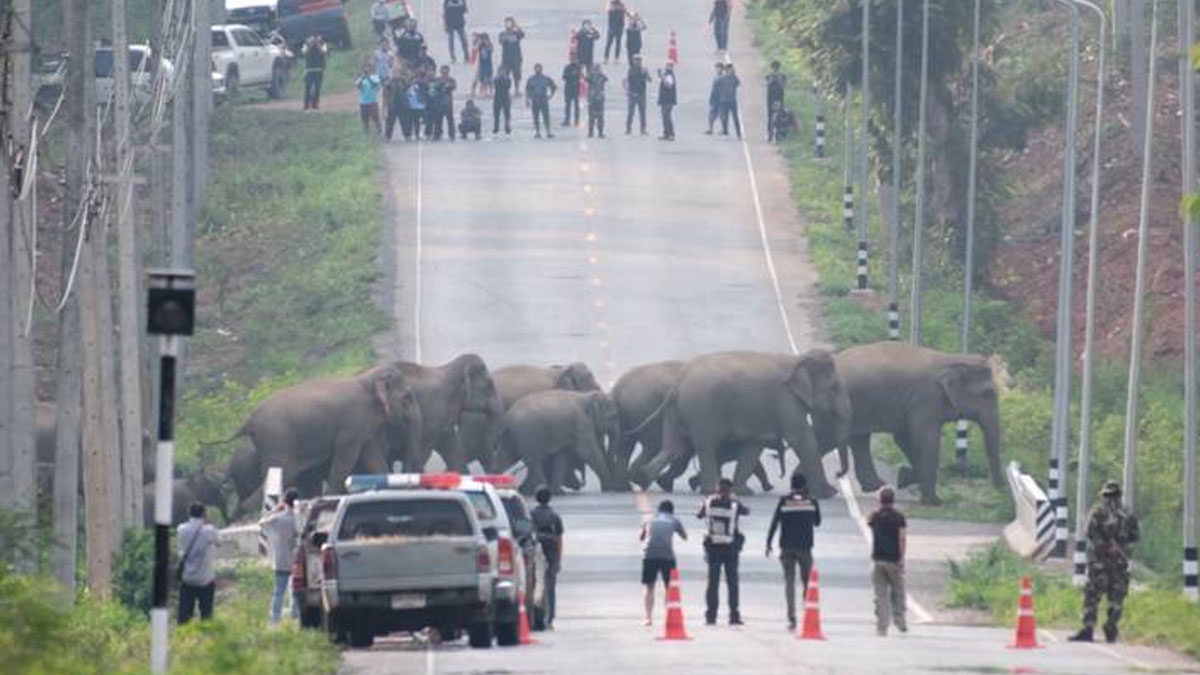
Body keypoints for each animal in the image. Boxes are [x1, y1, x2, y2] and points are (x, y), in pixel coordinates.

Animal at [211, 362, 422, 514]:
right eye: (407, 397)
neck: (366, 378)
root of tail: (249, 420)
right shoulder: (352, 425)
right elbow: (345, 458)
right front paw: (330, 498)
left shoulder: (362, 428)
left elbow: (371, 454)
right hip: (277, 436)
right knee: (284, 471)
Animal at [830, 341, 998, 504]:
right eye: (987, 394)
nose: (997, 491)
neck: (950, 359)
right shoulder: (927, 398)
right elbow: (925, 439)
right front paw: (934, 502)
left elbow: (904, 438)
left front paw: (903, 477)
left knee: (860, 439)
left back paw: (877, 485)